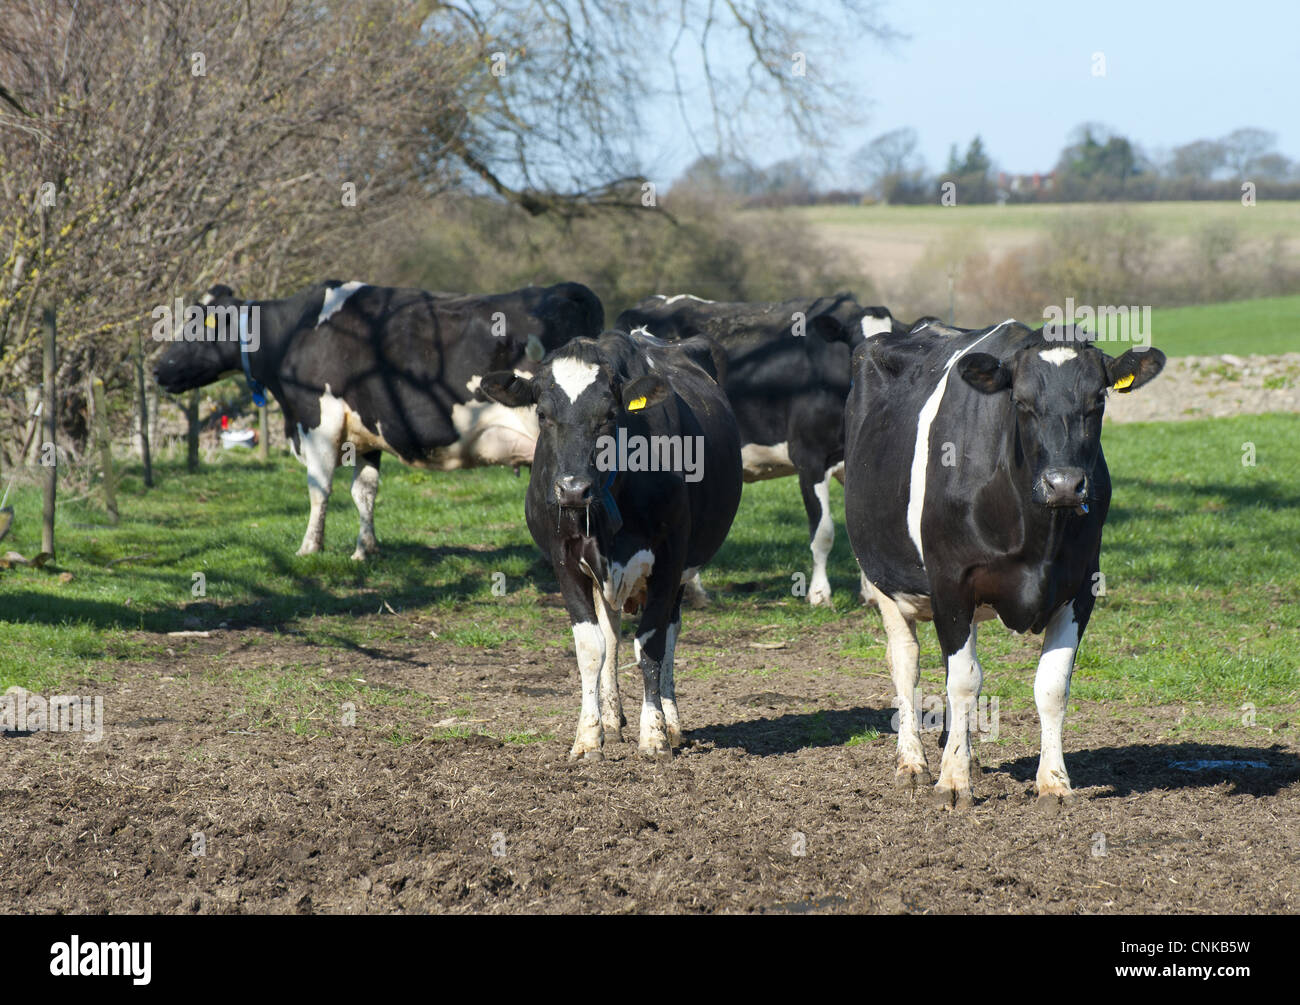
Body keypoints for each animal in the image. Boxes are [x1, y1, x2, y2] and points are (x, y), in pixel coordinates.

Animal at [153, 280, 603, 559]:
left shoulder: (318, 420)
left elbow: (319, 489)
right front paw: (364, 549)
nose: (157, 369)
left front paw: (309, 548)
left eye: (195, 324)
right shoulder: (364, 433)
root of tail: (571, 290)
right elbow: (363, 492)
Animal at [477, 328, 742, 761]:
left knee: (670, 631)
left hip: (682, 569)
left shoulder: (670, 559)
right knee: (612, 633)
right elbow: (592, 648)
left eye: (609, 416)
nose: (572, 489)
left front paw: (653, 735)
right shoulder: (564, 562)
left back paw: (671, 722)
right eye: (542, 415)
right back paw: (613, 718)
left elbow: (651, 645)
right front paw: (589, 737)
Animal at [843, 319, 1165, 808]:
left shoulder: (1080, 588)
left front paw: (1054, 783)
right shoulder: (950, 581)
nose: (1064, 484)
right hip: (882, 577)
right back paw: (913, 763)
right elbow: (963, 682)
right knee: (906, 661)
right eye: (1022, 402)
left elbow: (1051, 685)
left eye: (1099, 400)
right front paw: (952, 782)